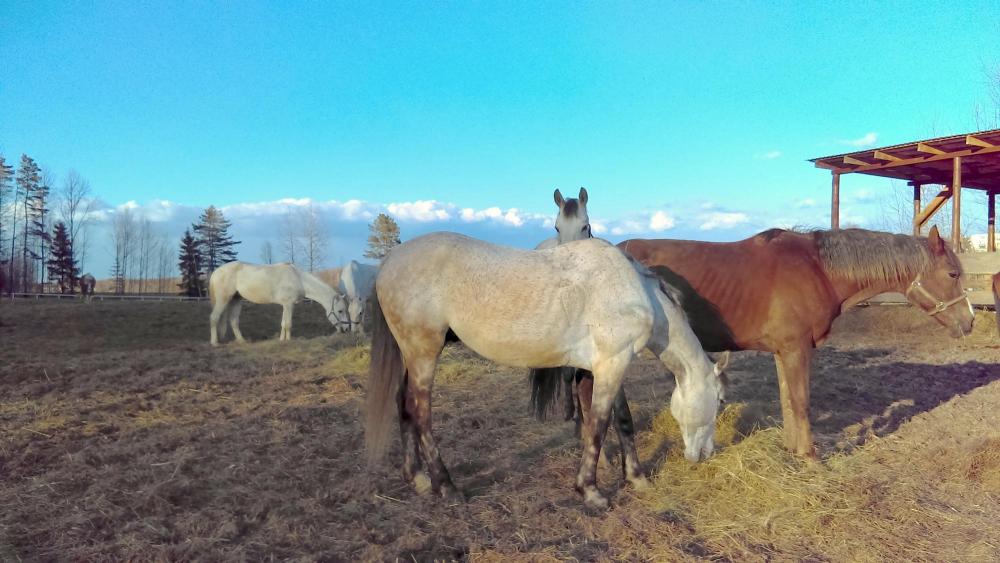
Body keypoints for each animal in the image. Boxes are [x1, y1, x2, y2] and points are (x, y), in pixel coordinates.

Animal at [208, 262, 349, 346]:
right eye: (340, 310)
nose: (347, 329)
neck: (299, 280)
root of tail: (216, 272)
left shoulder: (286, 305)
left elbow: (283, 323)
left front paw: (282, 340)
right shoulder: (289, 305)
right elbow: (288, 324)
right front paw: (288, 341)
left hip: (236, 299)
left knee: (233, 321)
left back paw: (242, 341)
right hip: (223, 299)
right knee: (214, 318)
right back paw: (215, 343)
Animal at [365, 232, 726, 510]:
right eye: (721, 402)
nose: (706, 454)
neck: (634, 292)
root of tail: (388, 264)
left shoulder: (609, 364)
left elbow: (622, 420)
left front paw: (636, 477)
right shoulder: (611, 364)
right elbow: (598, 424)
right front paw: (591, 491)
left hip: (410, 356)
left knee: (403, 405)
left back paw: (417, 478)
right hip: (424, 353)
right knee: (420, 413)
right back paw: (447, 486)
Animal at [610, 225, 973, 458]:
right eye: (953, 274)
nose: (969, 322)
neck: (818, 270)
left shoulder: (782, 350)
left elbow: (787, 400)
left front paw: (791, 450)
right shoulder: (797, 349)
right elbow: (801, 401)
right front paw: (810, 456)